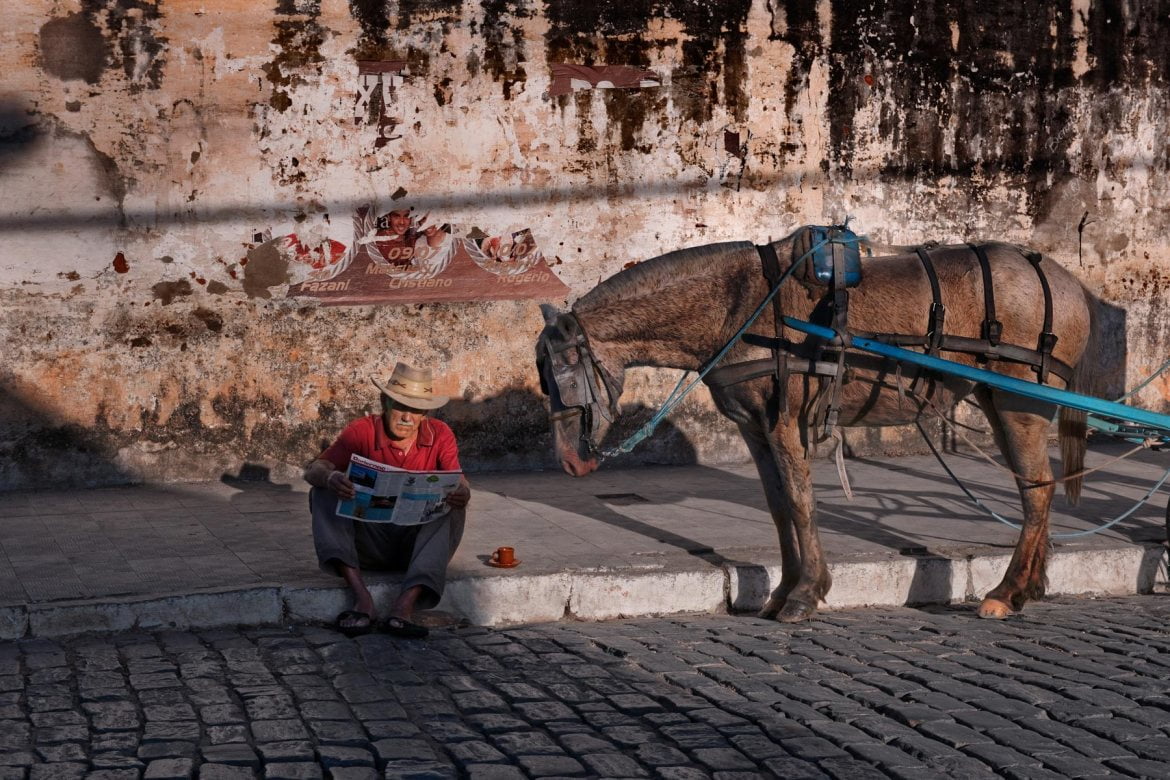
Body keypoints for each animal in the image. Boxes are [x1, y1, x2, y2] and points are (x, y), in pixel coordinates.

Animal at [535, 225, 1099, 622]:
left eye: (561, 372)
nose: (570, 461)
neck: (740, 304)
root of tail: (1068, 282)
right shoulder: (754, 426)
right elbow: (778, 505)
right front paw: (783, 590)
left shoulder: (784, 421)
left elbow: (801, 500)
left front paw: (805, 595)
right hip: (1000, 399)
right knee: (1036, 490)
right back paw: (1030, 586)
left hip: (1017, 401)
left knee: (1036, 490)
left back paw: (1007, 591)